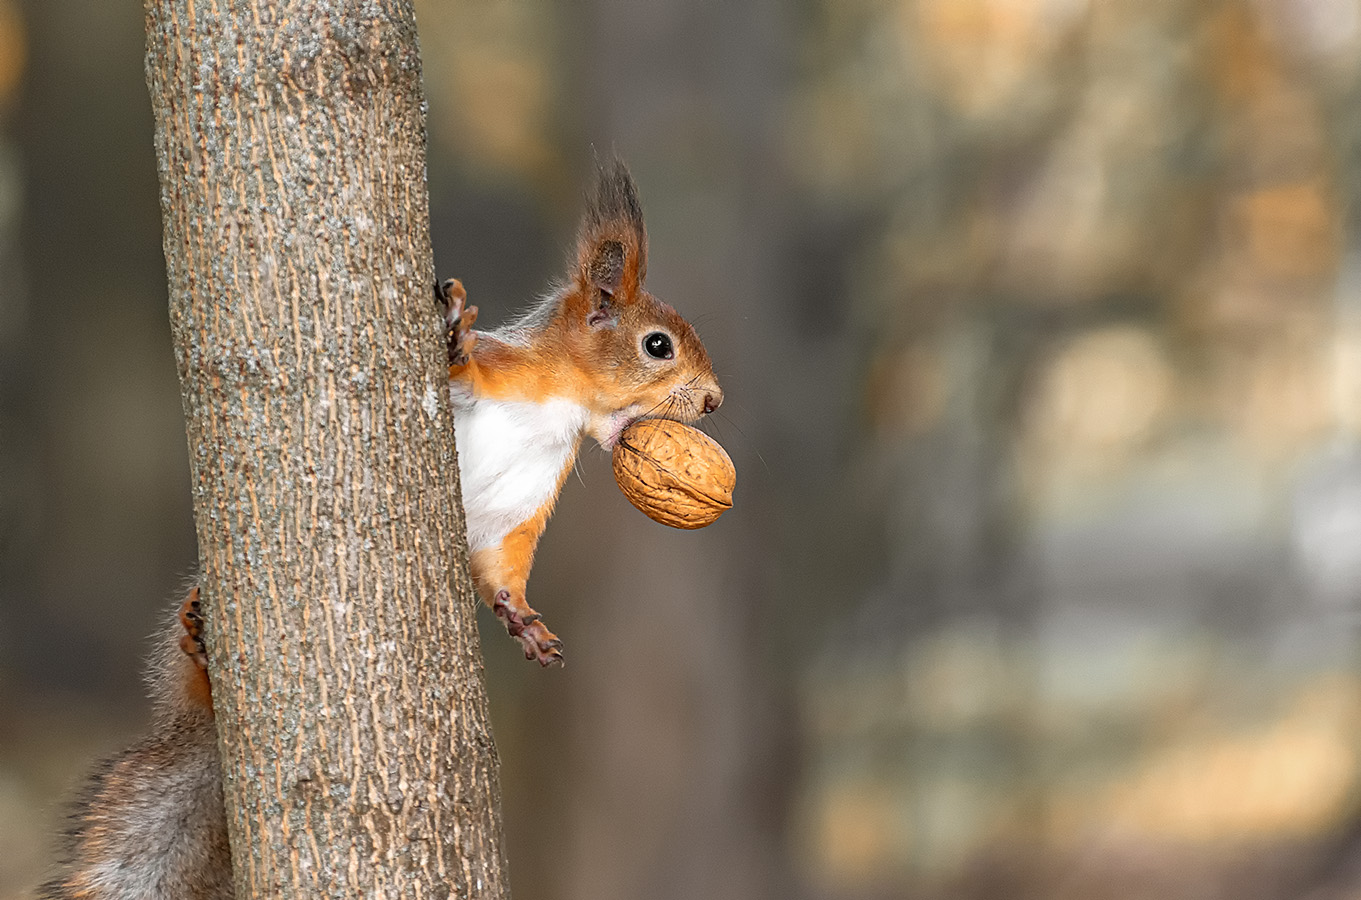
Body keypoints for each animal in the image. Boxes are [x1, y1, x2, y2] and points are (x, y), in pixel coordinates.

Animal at [39, 163, 724, 898]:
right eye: (657, 346)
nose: (714, 399)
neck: (564, 410)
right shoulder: (497, 380)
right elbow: (464, 367)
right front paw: (452, 331)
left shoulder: (518, 516)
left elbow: (501, 573)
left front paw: (523, 622)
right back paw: (194, 640)